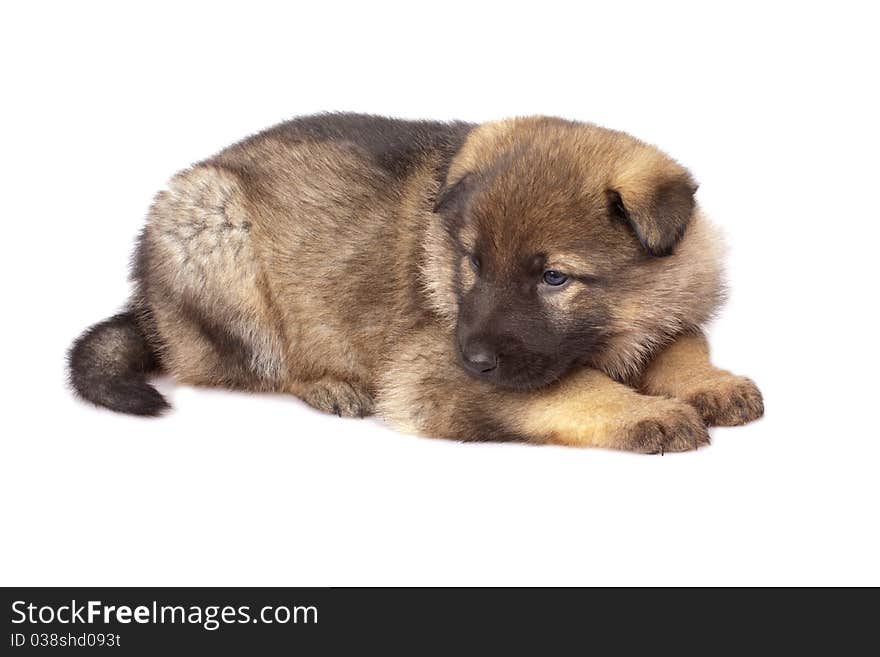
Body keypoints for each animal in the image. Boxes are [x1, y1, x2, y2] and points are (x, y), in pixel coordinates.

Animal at [67, 113, 764, 452]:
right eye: (473, 264)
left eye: (554, 278)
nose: (474, 358)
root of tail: (148, 306)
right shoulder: (434, 369)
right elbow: (573, 385)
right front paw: (648, 412)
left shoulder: (669, 305)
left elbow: (683, 344)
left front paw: (711, 382)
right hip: (217, 240)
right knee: (256, 365)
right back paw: (329, 385)